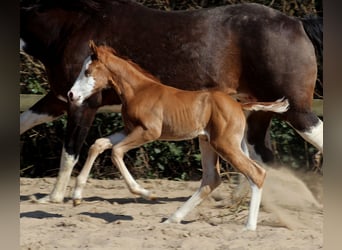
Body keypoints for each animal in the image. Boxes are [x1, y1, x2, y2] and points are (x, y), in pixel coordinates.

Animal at [20, 0, 324, 203]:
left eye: (88, 71)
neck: (69, 29)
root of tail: (297, 23)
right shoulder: (60, 98)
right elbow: (25, 122)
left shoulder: (82, 103)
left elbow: (70, 149)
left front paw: (54, 197)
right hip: (258, 112)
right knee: (261, 155)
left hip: (297, 111)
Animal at [67, 41, 288, 230]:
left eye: (87, 72)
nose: (71, 95)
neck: (138, 91)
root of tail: (239, 105)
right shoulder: (129, 129)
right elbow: (98, 144)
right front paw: (77, 196)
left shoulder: (149, 132)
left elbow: (115, 152)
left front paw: (146, 193)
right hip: (208, 142)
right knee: (212, 179)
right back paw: (172, 219)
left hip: (224, 144)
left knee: (256, 173)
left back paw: (249, 227)